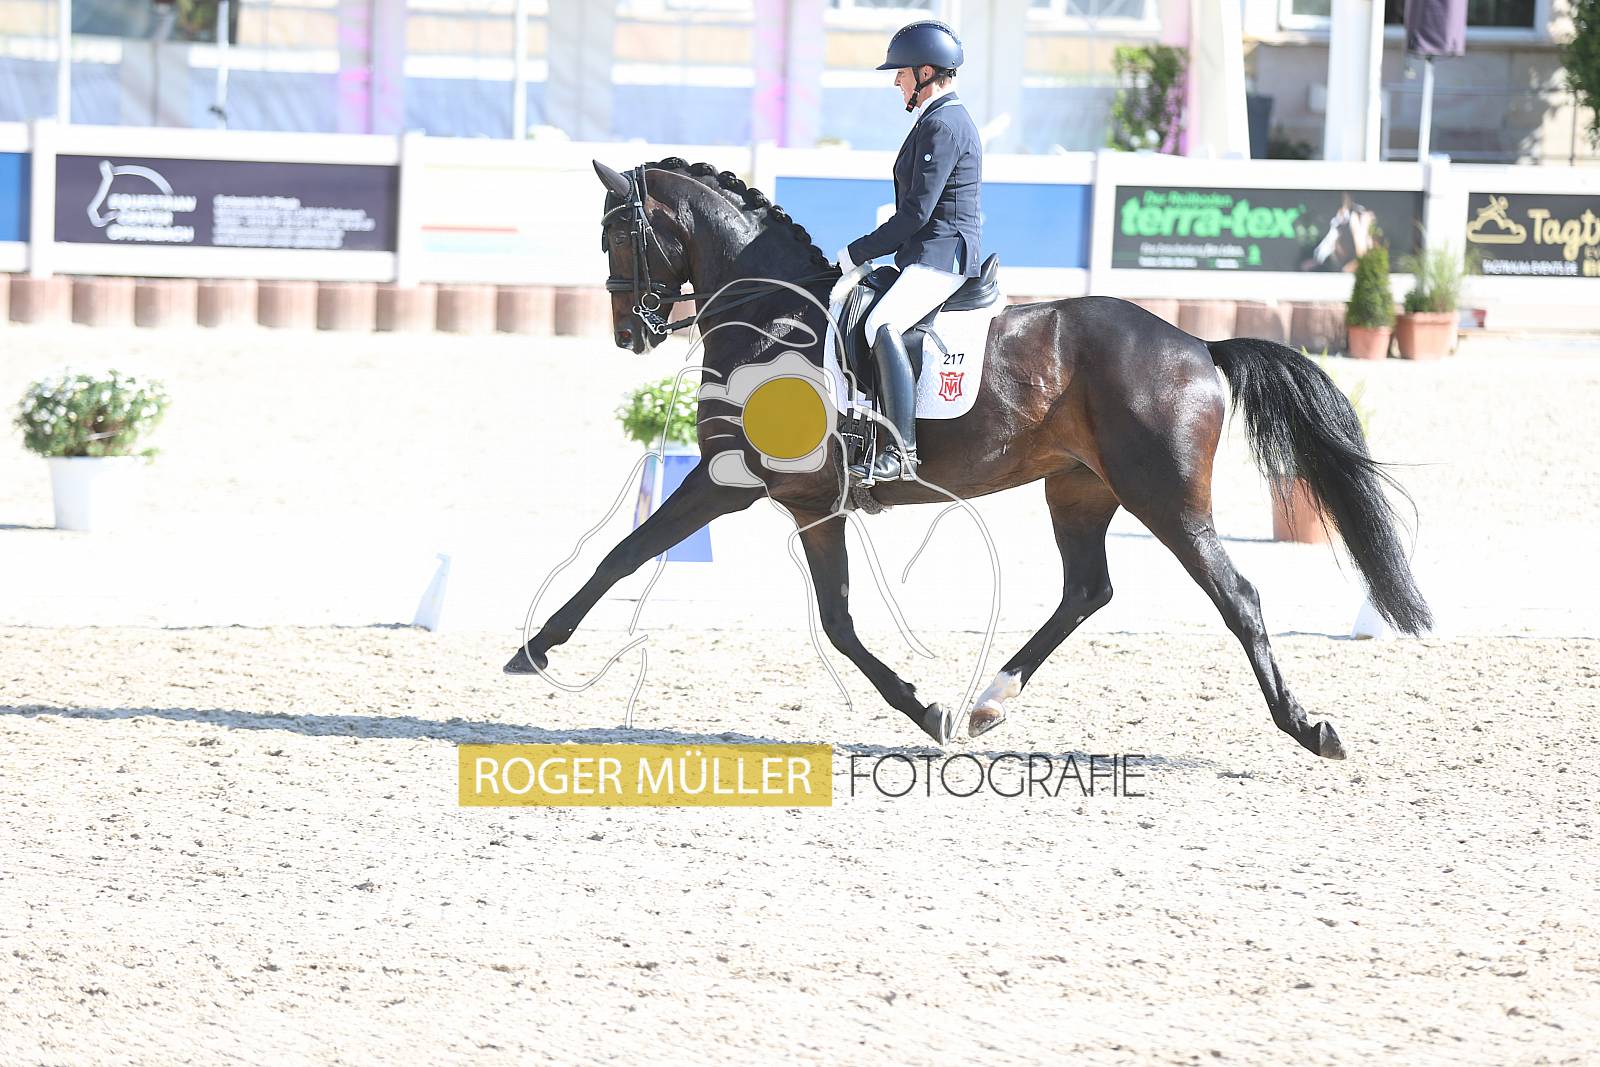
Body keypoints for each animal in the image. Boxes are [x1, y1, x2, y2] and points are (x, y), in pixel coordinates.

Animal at [504, 157, 1432, 760]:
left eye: (618, 236)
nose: (629, 332)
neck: (774, 316)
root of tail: (1198, 345)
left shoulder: (732, 482)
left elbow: (627, 551)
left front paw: (536, 648)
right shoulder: (811, 504)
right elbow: (837, 622)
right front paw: (929, 711)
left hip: (1165, 498)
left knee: (1235, 595)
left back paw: (1308, 728)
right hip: (1079, 490)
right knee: (1086, 590)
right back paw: (988, 703)